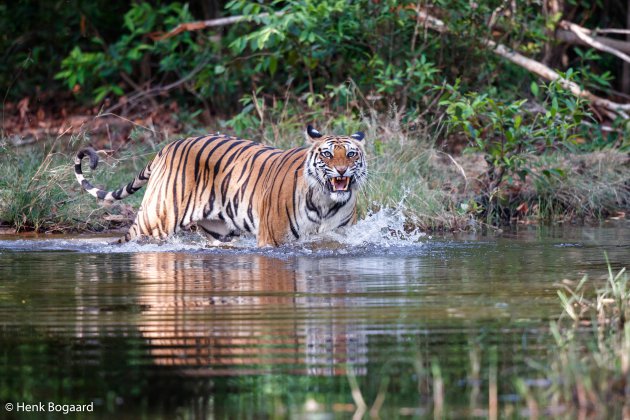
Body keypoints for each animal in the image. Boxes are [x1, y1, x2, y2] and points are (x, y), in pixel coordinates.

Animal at [74, 126, 368, 248]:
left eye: (351, 154)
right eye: (327, 155)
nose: (342, 171)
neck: (325, 201)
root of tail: (167, 147)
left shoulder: (339, 235)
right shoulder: (273, 240)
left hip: (220, 230)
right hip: (155, 220)